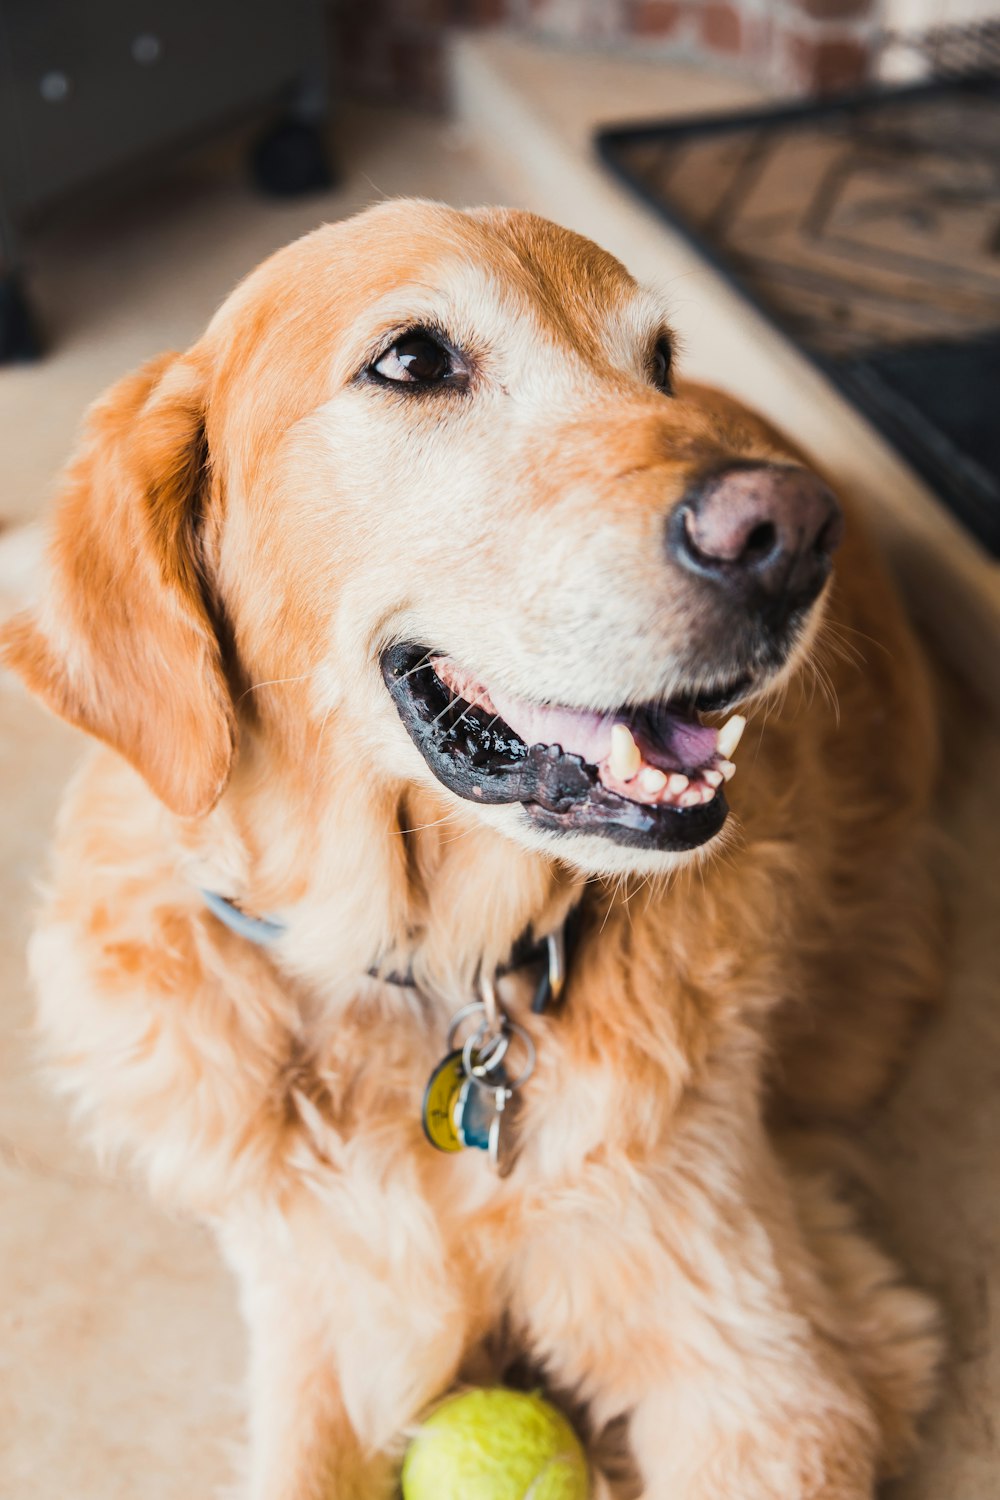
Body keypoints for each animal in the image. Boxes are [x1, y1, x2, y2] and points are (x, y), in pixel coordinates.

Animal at [5, 202, 947, 1500]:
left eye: (659, 363)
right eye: (412, 360)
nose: (790, 534)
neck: (421, 973)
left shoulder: (768, 1368)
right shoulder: (323, 1311)